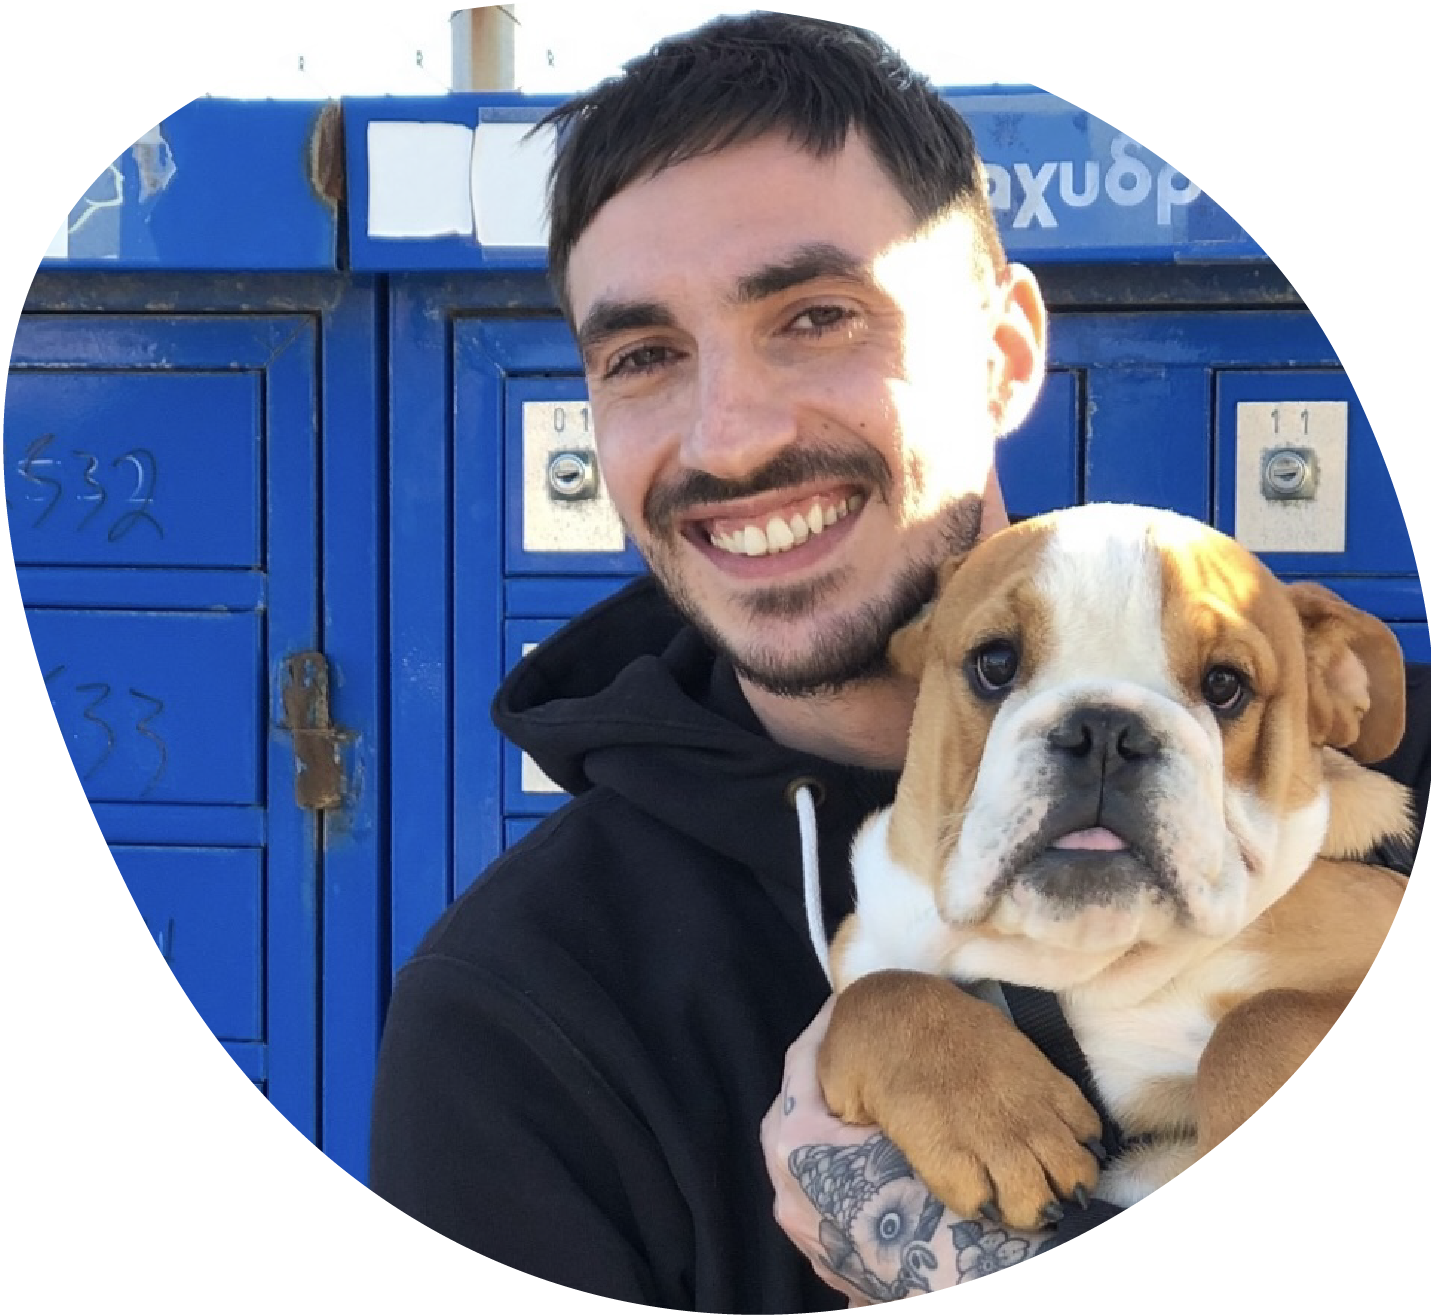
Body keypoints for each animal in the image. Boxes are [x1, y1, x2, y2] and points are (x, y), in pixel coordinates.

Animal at [817, 502, 1413, 1228]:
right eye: (996, 662)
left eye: (1226, 685)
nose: (1104, 729)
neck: (1085, 967)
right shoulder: (872, 947)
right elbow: (878, 995)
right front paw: (1002, 1120)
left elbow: (1253, 1027)